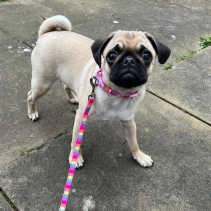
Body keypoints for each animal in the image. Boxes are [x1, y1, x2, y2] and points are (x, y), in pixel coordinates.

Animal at [27, 14, 171, 168]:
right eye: (111, 56)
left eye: (146, 56)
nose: (129, 60)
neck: (117, 92)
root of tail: (47, 34)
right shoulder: (80, 118)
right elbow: (75, 142)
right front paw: (75, 158)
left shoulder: (128, 122)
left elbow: (133, 142)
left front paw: (139, 156)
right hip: (43, 83)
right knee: (30, 96)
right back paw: (32, 113)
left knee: (65, 86)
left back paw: (72, 98)